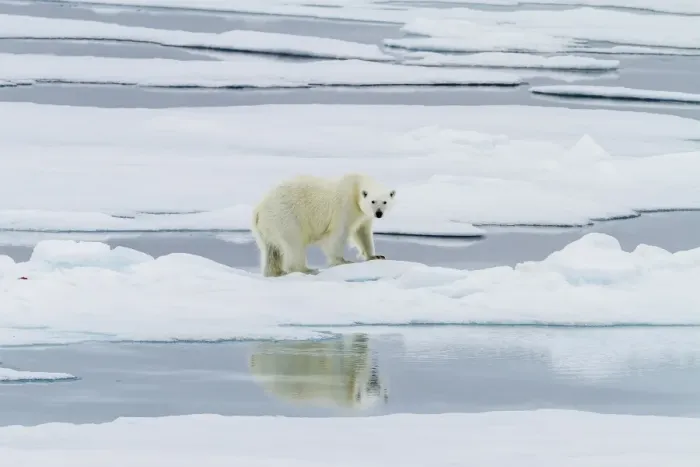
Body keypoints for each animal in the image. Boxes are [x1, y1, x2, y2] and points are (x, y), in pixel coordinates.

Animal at [251, 173, 396, 277]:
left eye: (385, 202)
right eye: (373, 201)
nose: (378, 213)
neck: (355, 185)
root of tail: (258, 210)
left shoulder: (362, 215)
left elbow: (362, 233)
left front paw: (376, 256)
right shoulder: (344, 207)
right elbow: (337, 235)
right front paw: (342, 261)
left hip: (266, 228)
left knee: (271, 251)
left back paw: (275, 272)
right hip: (285, 217)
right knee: (294, 244)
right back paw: (307, 270)